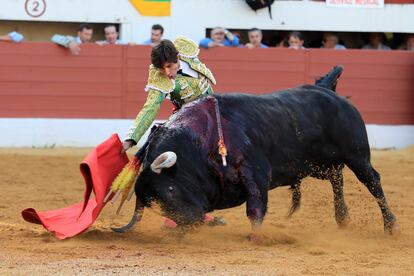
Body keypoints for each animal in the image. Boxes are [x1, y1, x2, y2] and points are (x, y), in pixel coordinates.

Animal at [115, 84, 398, 235]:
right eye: (157, 204)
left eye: (172, 189)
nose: (188, 224)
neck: (201, 140)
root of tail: (329, 90)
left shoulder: (255, 172)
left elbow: (255, 209)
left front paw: (254, 238)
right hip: (319, 165)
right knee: (336, 178)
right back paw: (342, 218)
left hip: (357, 155)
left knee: (373, 182)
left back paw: (390, 226)